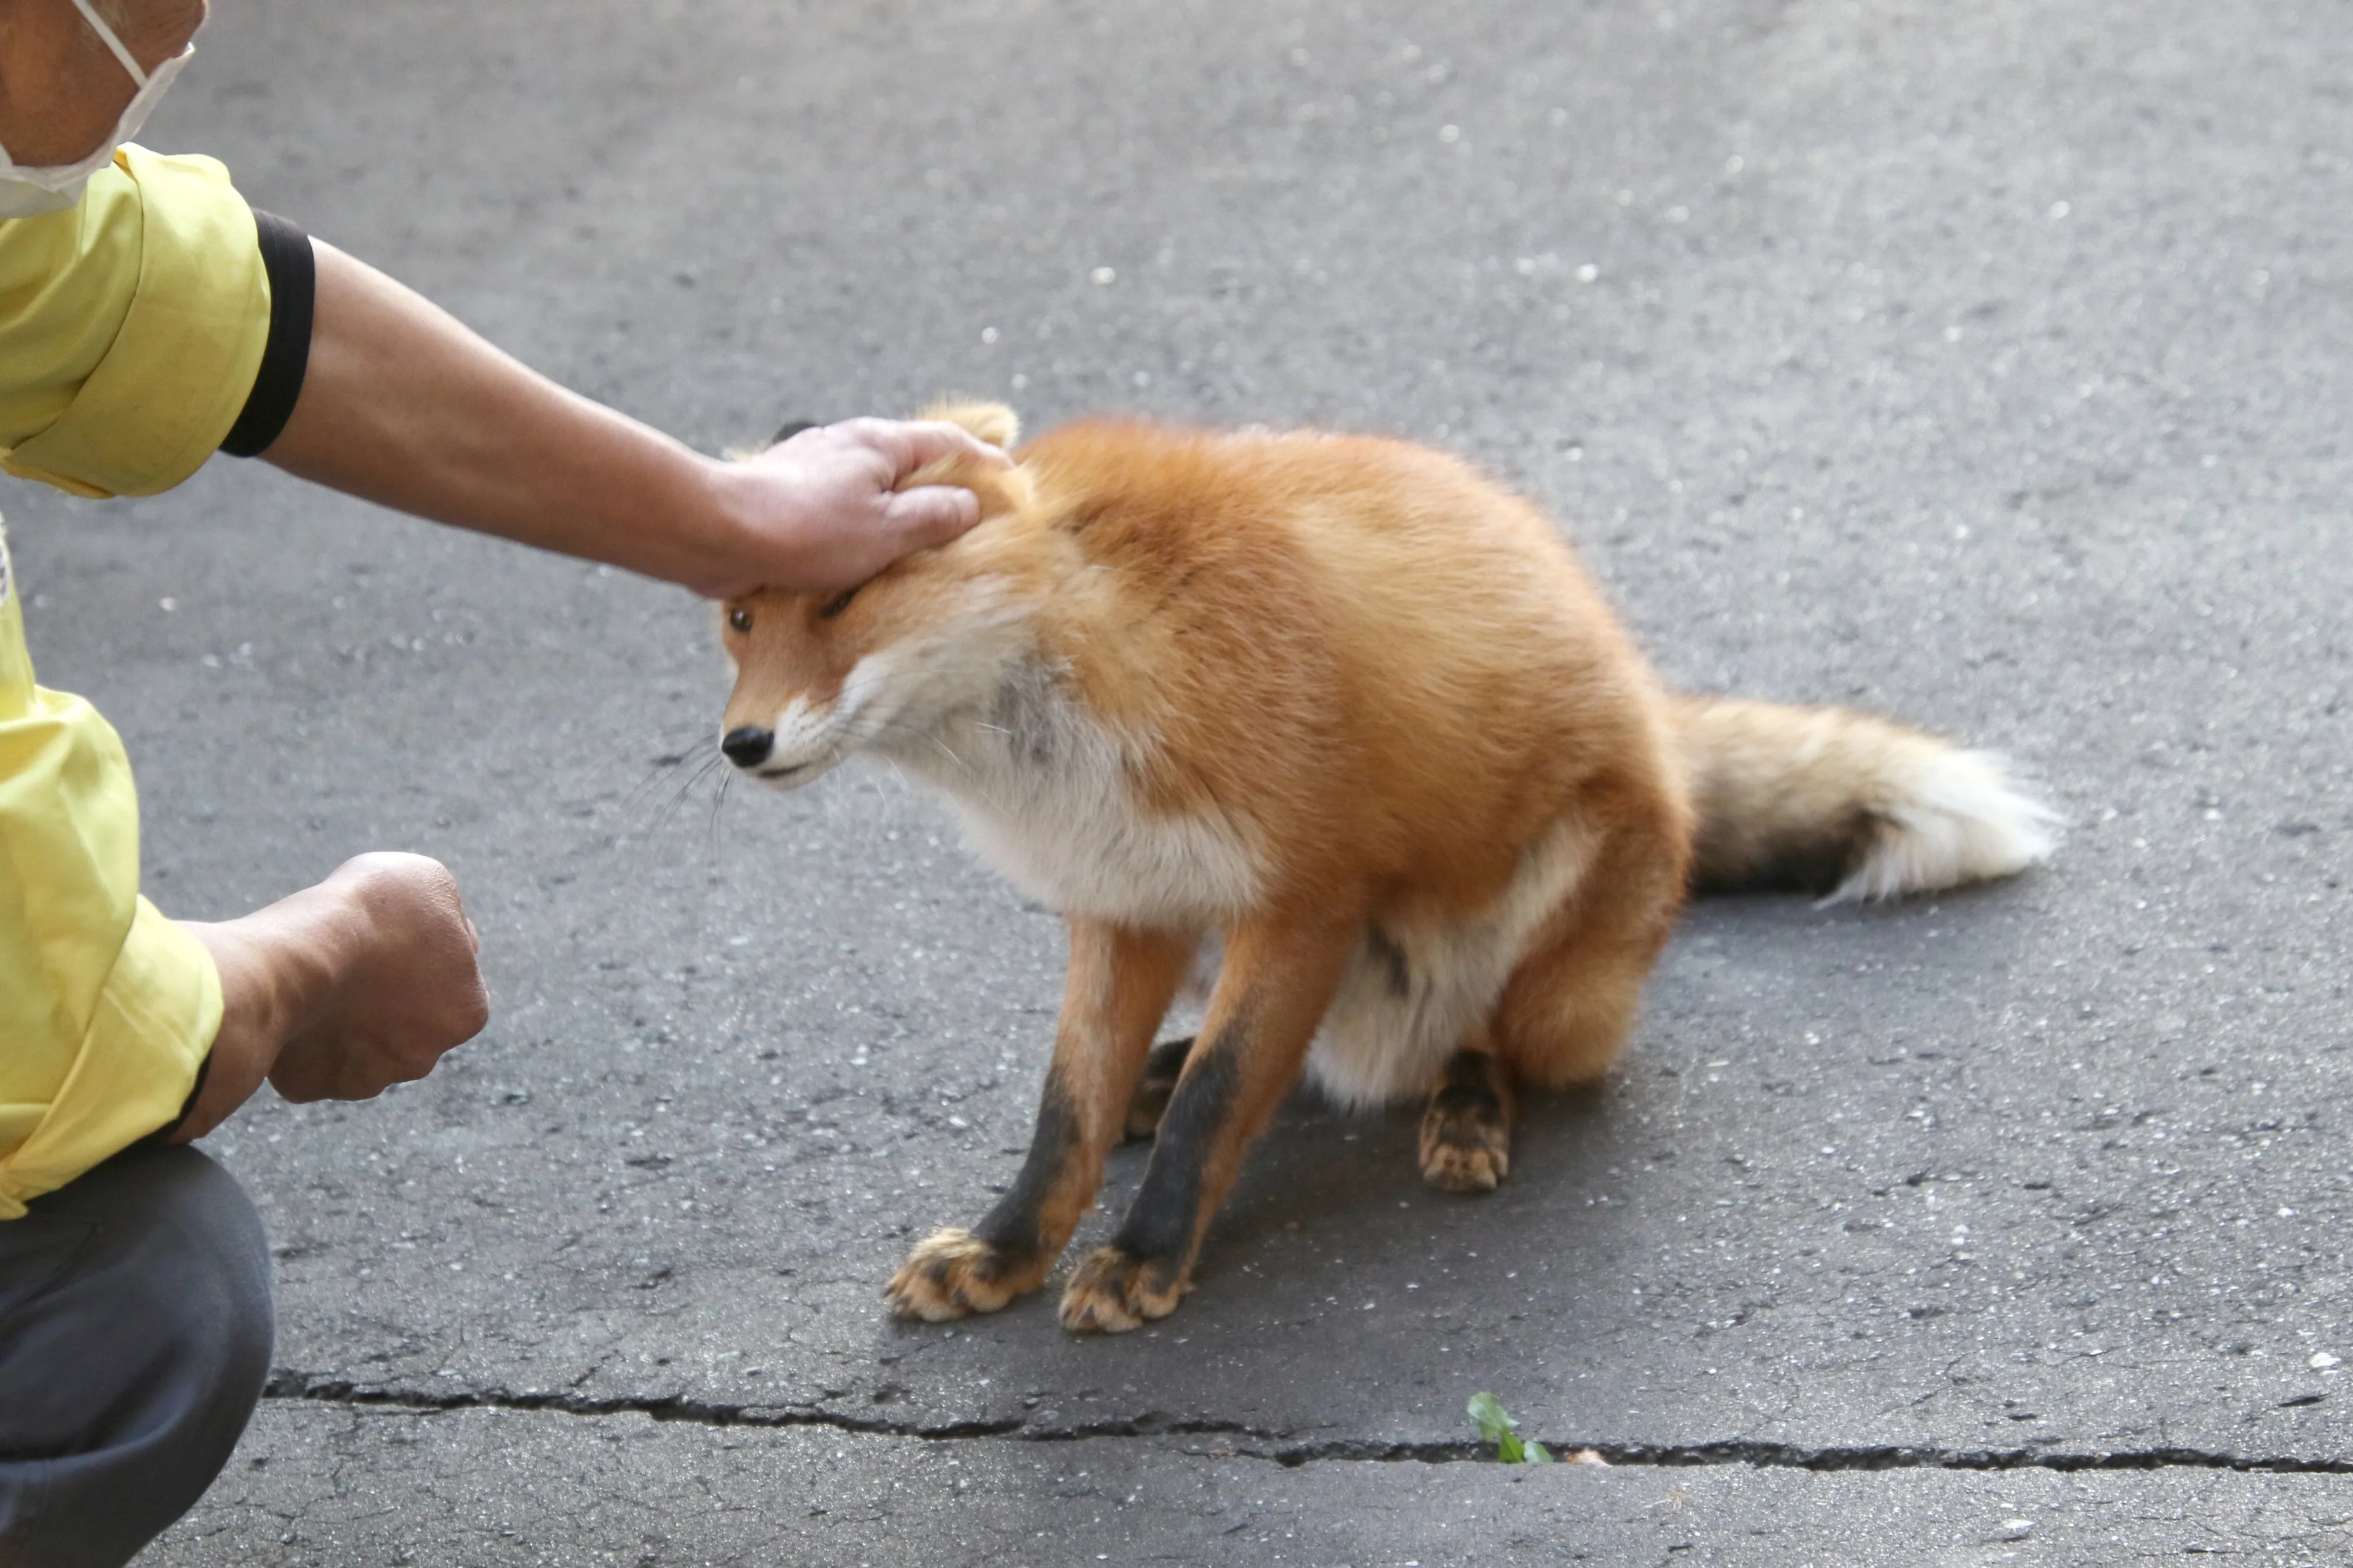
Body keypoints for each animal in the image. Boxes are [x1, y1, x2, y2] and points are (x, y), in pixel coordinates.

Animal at [715, 402, 2057, 1335]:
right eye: (738, 616)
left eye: (844, 597)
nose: (740, 743)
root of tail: (1666, 752)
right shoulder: (1123, 902)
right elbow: (1069, 1115)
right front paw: (1006, 1254)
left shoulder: (1304, 896)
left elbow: (1220, 1105)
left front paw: (1147, 1259)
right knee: (1302, 1061)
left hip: (1545, 939)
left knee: (1464, 1042)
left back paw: (1463, 1105)